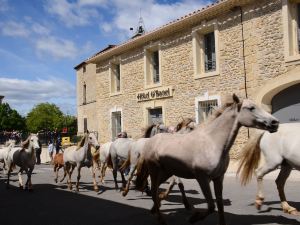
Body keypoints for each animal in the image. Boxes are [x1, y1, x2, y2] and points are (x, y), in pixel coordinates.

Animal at [135, 94, 278, 225]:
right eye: (251, 108)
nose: (275, 123)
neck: (213, 143)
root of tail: (150, 141)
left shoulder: (218, 178)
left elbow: (219, 205)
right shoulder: (202, 178)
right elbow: (211, 206)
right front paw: (193, 218)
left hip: (166, 172)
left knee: (156, 191)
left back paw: (154, 209)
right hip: (156, 171)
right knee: (154, 191)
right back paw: (161, 219)